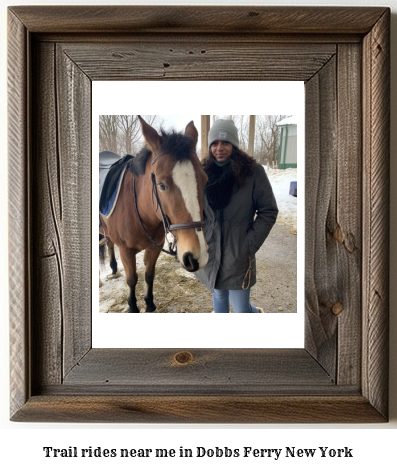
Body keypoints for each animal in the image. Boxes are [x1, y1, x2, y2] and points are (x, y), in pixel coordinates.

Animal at [100, 115, 207, 312]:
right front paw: (133, 306)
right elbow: (132, 279)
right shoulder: (126, 251)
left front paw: (149, 303)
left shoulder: (154, 247)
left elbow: (149, 275)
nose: (197, 256)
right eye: (161, 185)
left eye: (205, 180)